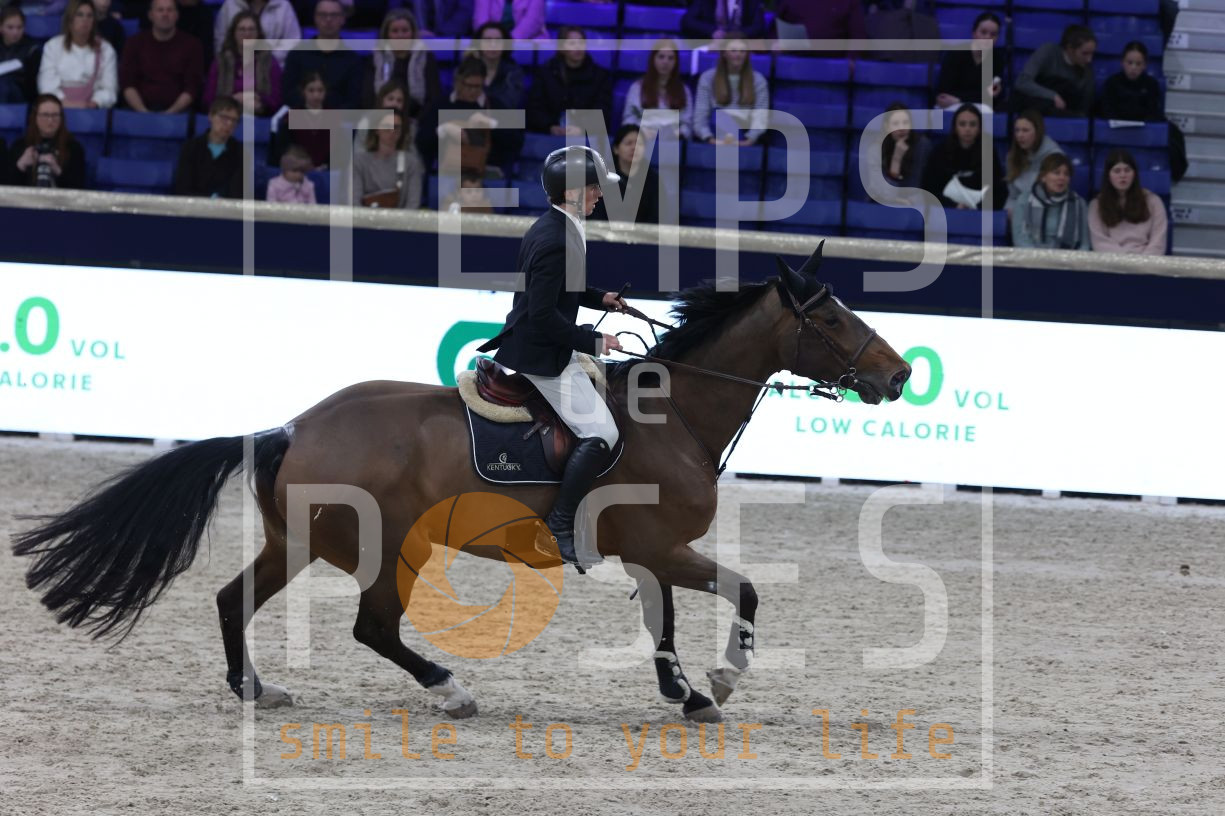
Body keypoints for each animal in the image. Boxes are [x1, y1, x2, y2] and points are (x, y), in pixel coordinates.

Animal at [12, 243, 911, 723]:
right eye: (832, 319)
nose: (899, 375)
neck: (675, 414)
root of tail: (296, 425)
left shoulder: (649, 553)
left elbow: (666, 621)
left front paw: (685, 693)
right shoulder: (663, 546)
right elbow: (742, 592)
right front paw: (717, 681)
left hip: (298, 541)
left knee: (234, 600)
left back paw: (255, 689)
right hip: (387, 550)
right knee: (373, 628)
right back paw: (450, 690)